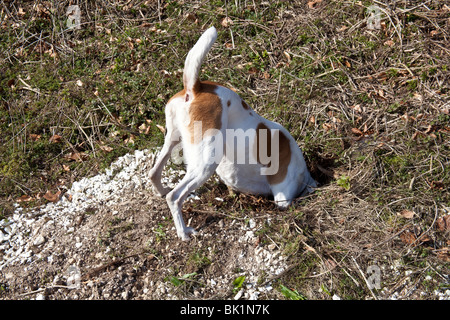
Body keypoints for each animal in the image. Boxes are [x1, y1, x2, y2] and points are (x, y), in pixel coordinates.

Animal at [149, 26, 314, 240]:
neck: (303, 175)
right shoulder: (282, 197)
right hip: (205, 166)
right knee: (175, 197)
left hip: (173, 139)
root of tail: (195, 89)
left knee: (154, 173)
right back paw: (183, 232)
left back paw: (161, 191)